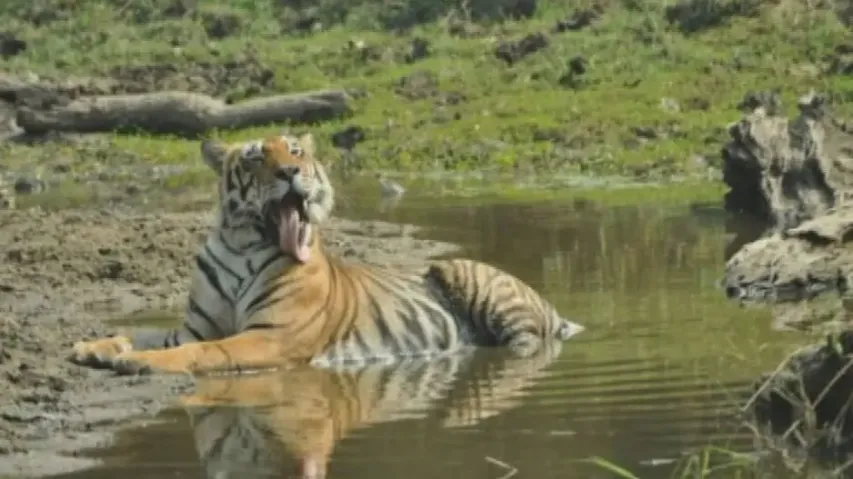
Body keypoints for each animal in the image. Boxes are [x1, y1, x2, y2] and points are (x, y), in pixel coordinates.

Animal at [68, 133, 583, 376]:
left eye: (295, 151)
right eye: (256, 157)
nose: (291, 172)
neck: (241, 244)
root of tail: (551, 304)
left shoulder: (270, 337)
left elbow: (204, 350)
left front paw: (138, 361)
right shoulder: (193, 325)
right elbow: (143, 332)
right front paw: (93, 346)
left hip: (469, 278)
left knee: (526, 342)